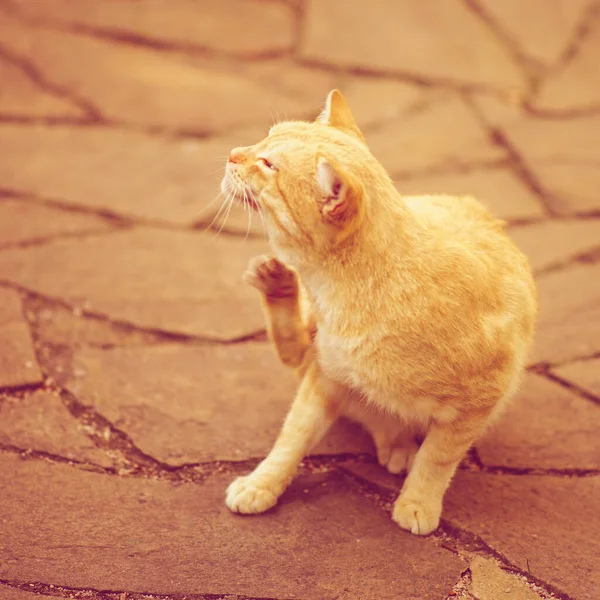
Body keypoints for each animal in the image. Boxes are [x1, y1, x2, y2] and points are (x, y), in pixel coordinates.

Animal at [221, 90, 540, 536]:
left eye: (268, 164)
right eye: (262, 140)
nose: (233, 153)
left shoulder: (477, 403)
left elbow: (436, 459)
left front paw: (418, 502)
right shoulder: (326, 377)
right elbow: (291, 438)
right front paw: (262, 483)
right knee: (294, 349)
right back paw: (276, 283)